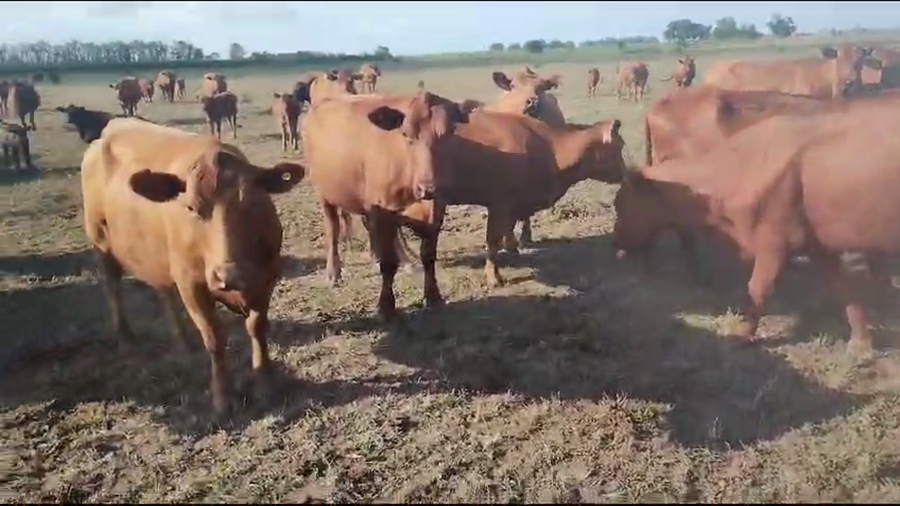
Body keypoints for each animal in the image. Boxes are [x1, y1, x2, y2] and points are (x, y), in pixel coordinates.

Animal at [80, 117, 306, 415]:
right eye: (190, 208)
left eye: (254, 203)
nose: (229, 275)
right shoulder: (192, 284)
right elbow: (214, 338)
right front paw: (223, 398)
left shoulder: (267, 276)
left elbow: (257, 328)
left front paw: (265, 384)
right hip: (102, 244)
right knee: (113, 287)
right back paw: (126, 337)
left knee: (163, 292)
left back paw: (183, 343)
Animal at [301, 90, 474, 321]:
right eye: (406, 135)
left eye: (449, 134)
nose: (428, 187)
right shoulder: (383, 212)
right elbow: (389, 263)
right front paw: (386, 306)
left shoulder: (436, 210)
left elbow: (428, 256)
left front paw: (433, 296)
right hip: (326, 194)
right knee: (333, 230)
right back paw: (333, 272)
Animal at [612, 92, 900, 358]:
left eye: (619, 202)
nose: (615, 242)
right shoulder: (818, 245)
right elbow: (845, 289)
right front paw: (861, 343)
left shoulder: (776, 241)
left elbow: (757, 289)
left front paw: (741, 335)